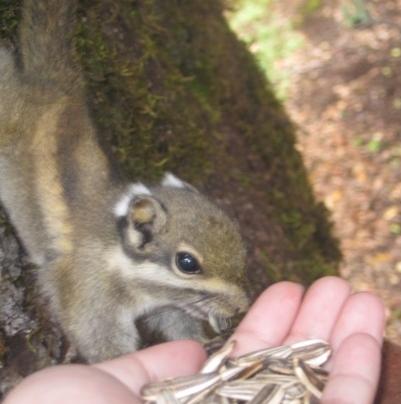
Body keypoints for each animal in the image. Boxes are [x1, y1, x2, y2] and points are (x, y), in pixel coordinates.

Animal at [0, 0, 248, 360]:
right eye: (187, 263)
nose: (242, 307)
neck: (119, 258)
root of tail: (51, 83)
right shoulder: (91, 293)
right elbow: (100, 342)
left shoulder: (165, 308)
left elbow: (179, 325)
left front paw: (206, 344)